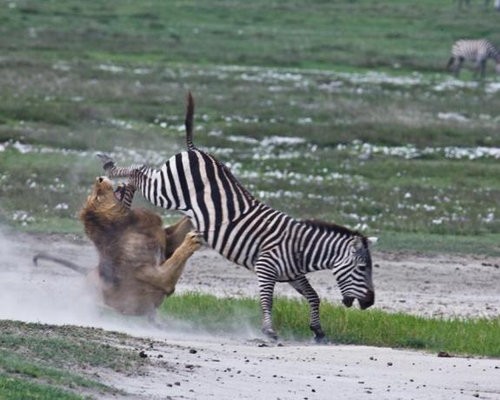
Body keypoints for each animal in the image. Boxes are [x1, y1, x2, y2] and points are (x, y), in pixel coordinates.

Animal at [33, 177, 202, 320]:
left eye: (94, 194)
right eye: (97, 197)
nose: (99, 179)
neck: (131, 224)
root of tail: (87, 272)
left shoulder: (168, 240)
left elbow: (185, 220)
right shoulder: (157, 277)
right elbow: (176, 259)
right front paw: (192, 240)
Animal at [97, 92, 374, 342]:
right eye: (362, 268)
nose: (370, 303)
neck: (300, 248)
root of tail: (195, 150)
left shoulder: (294, 275)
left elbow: (314, 296)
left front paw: (317, 330)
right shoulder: (266, 267)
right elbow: (267, 299)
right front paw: (269, 331)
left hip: (165, 185)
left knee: (140, 174)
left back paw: (121, 194)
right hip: (166, 190)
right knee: (138, 172)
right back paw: (111, 169)